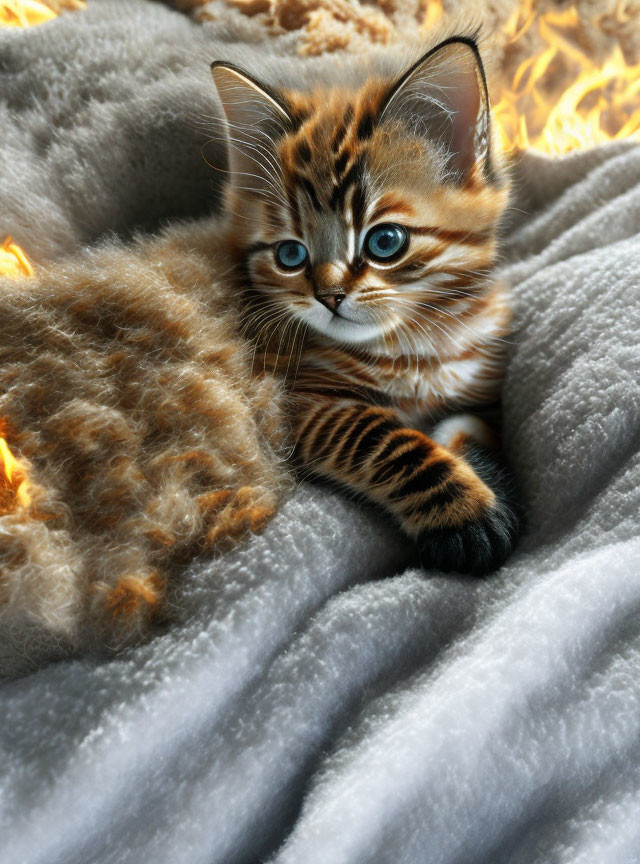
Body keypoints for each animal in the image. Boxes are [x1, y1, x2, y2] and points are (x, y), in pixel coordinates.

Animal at [212, 33, 516, 572]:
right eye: (290, 254)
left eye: (385, 241)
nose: (328, 295)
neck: (424, 338)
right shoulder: (298, 401)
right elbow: (383, 436)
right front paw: (466, 516)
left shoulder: (482, 383)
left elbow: (474, 425)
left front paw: (484, 472)